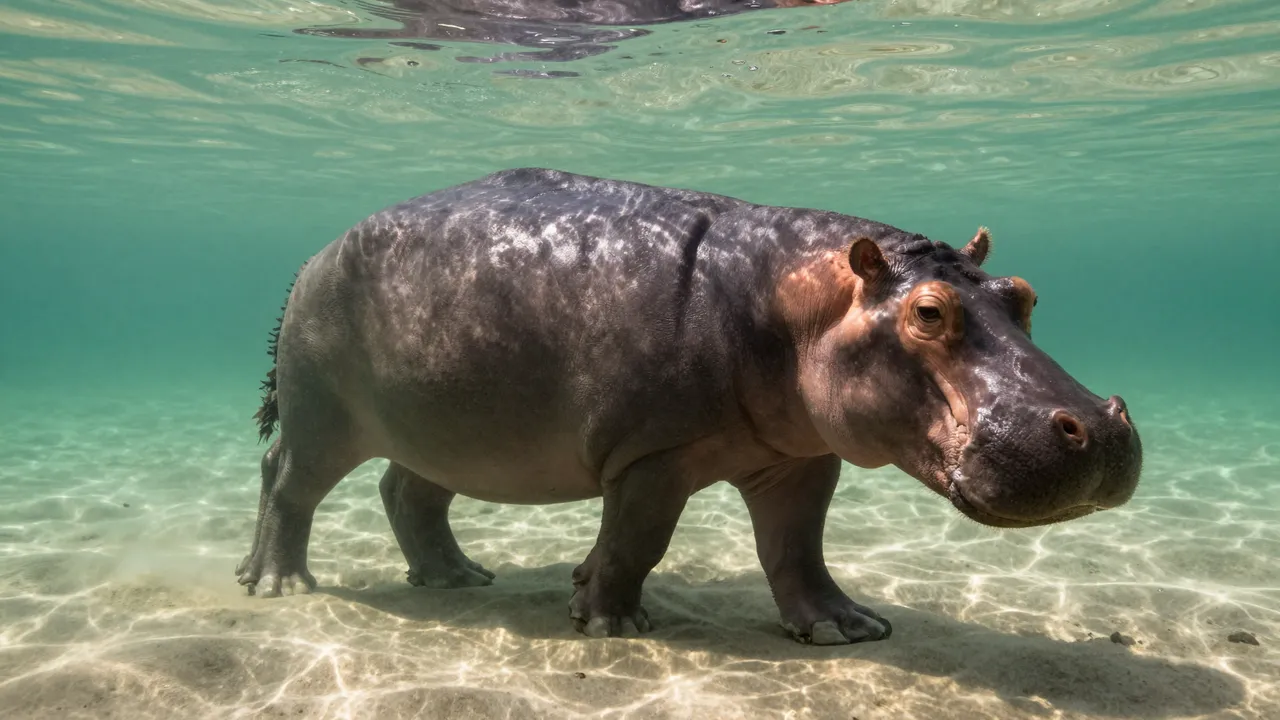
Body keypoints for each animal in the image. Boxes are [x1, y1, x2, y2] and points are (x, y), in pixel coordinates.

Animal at [237, 168, 1143, 644]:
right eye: (928, 312)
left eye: (1022, 294)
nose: (1099, 429)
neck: (793, 302)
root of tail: (310, 258)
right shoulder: (653, 458)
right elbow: (637, 542)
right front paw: (610, 624)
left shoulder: (802, 458)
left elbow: (798, 551)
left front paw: (847, 627)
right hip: (325, 418)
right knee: (286, 479)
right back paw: (279, 587)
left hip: (444, 427)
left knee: (407, 491)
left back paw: (456, 577)